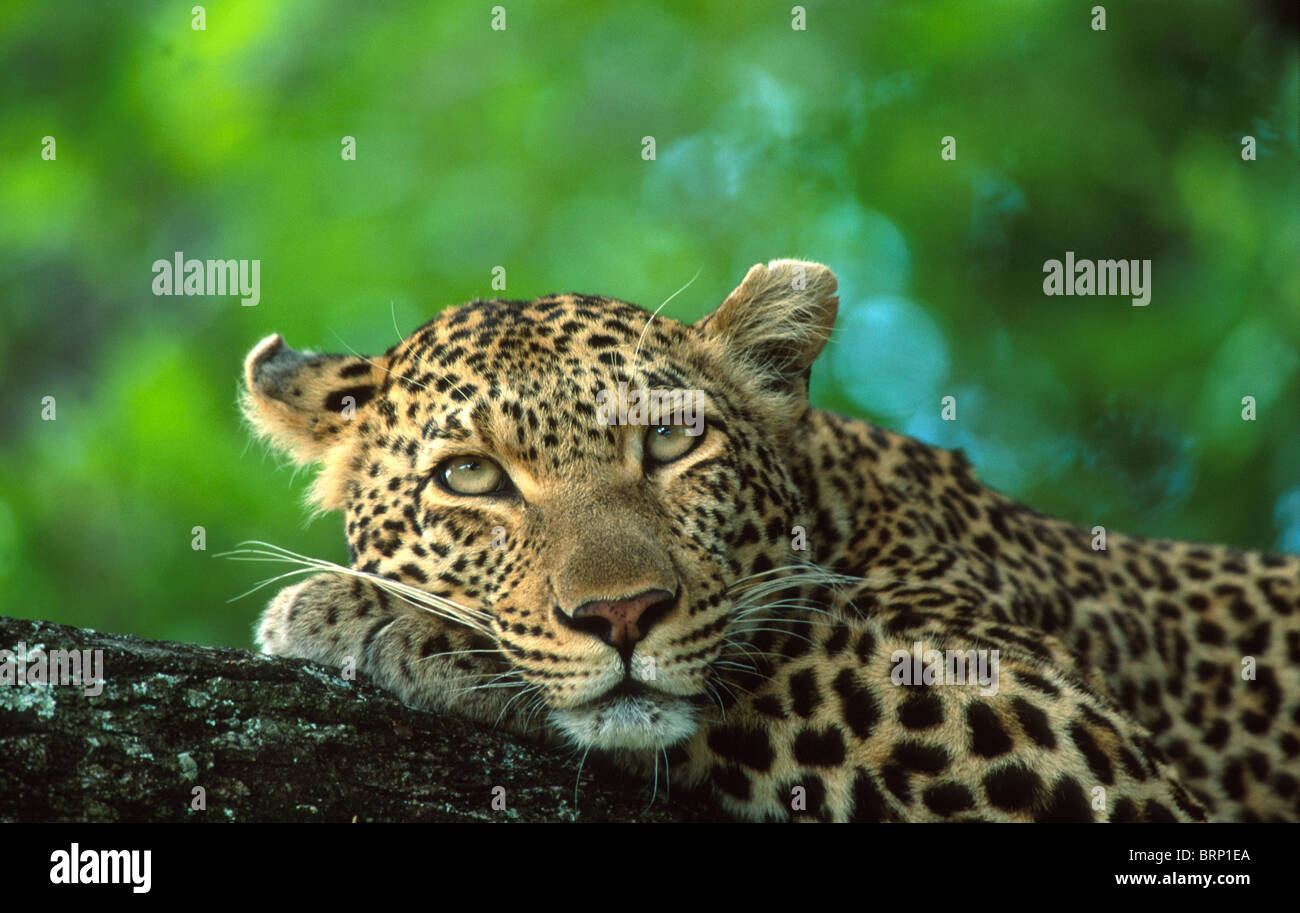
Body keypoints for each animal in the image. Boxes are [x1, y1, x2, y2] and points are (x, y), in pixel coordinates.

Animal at [241, 259, 1300, 822]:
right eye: (470, 476)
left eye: (673, 439)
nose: (622, 614)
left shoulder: (1069, 739)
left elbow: (779, 658)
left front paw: (366, 614)